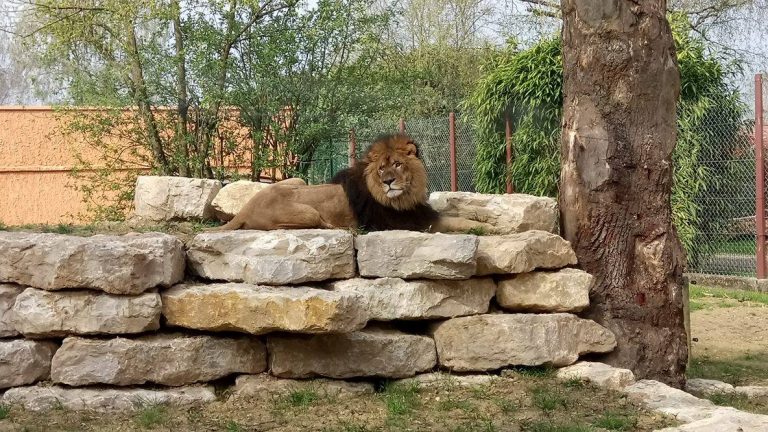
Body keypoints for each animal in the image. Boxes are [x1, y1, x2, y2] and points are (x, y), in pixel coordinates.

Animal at [217, 133, 490, 233]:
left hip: (299, 180)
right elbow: (457, 223)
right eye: (381, 169)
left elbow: (457, 214)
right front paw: (487, 227)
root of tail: (244, 210)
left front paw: (485, 217)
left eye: (397, 164)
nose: (388, 182)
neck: (405, 196)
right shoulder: (410, 223)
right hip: (307, 213)